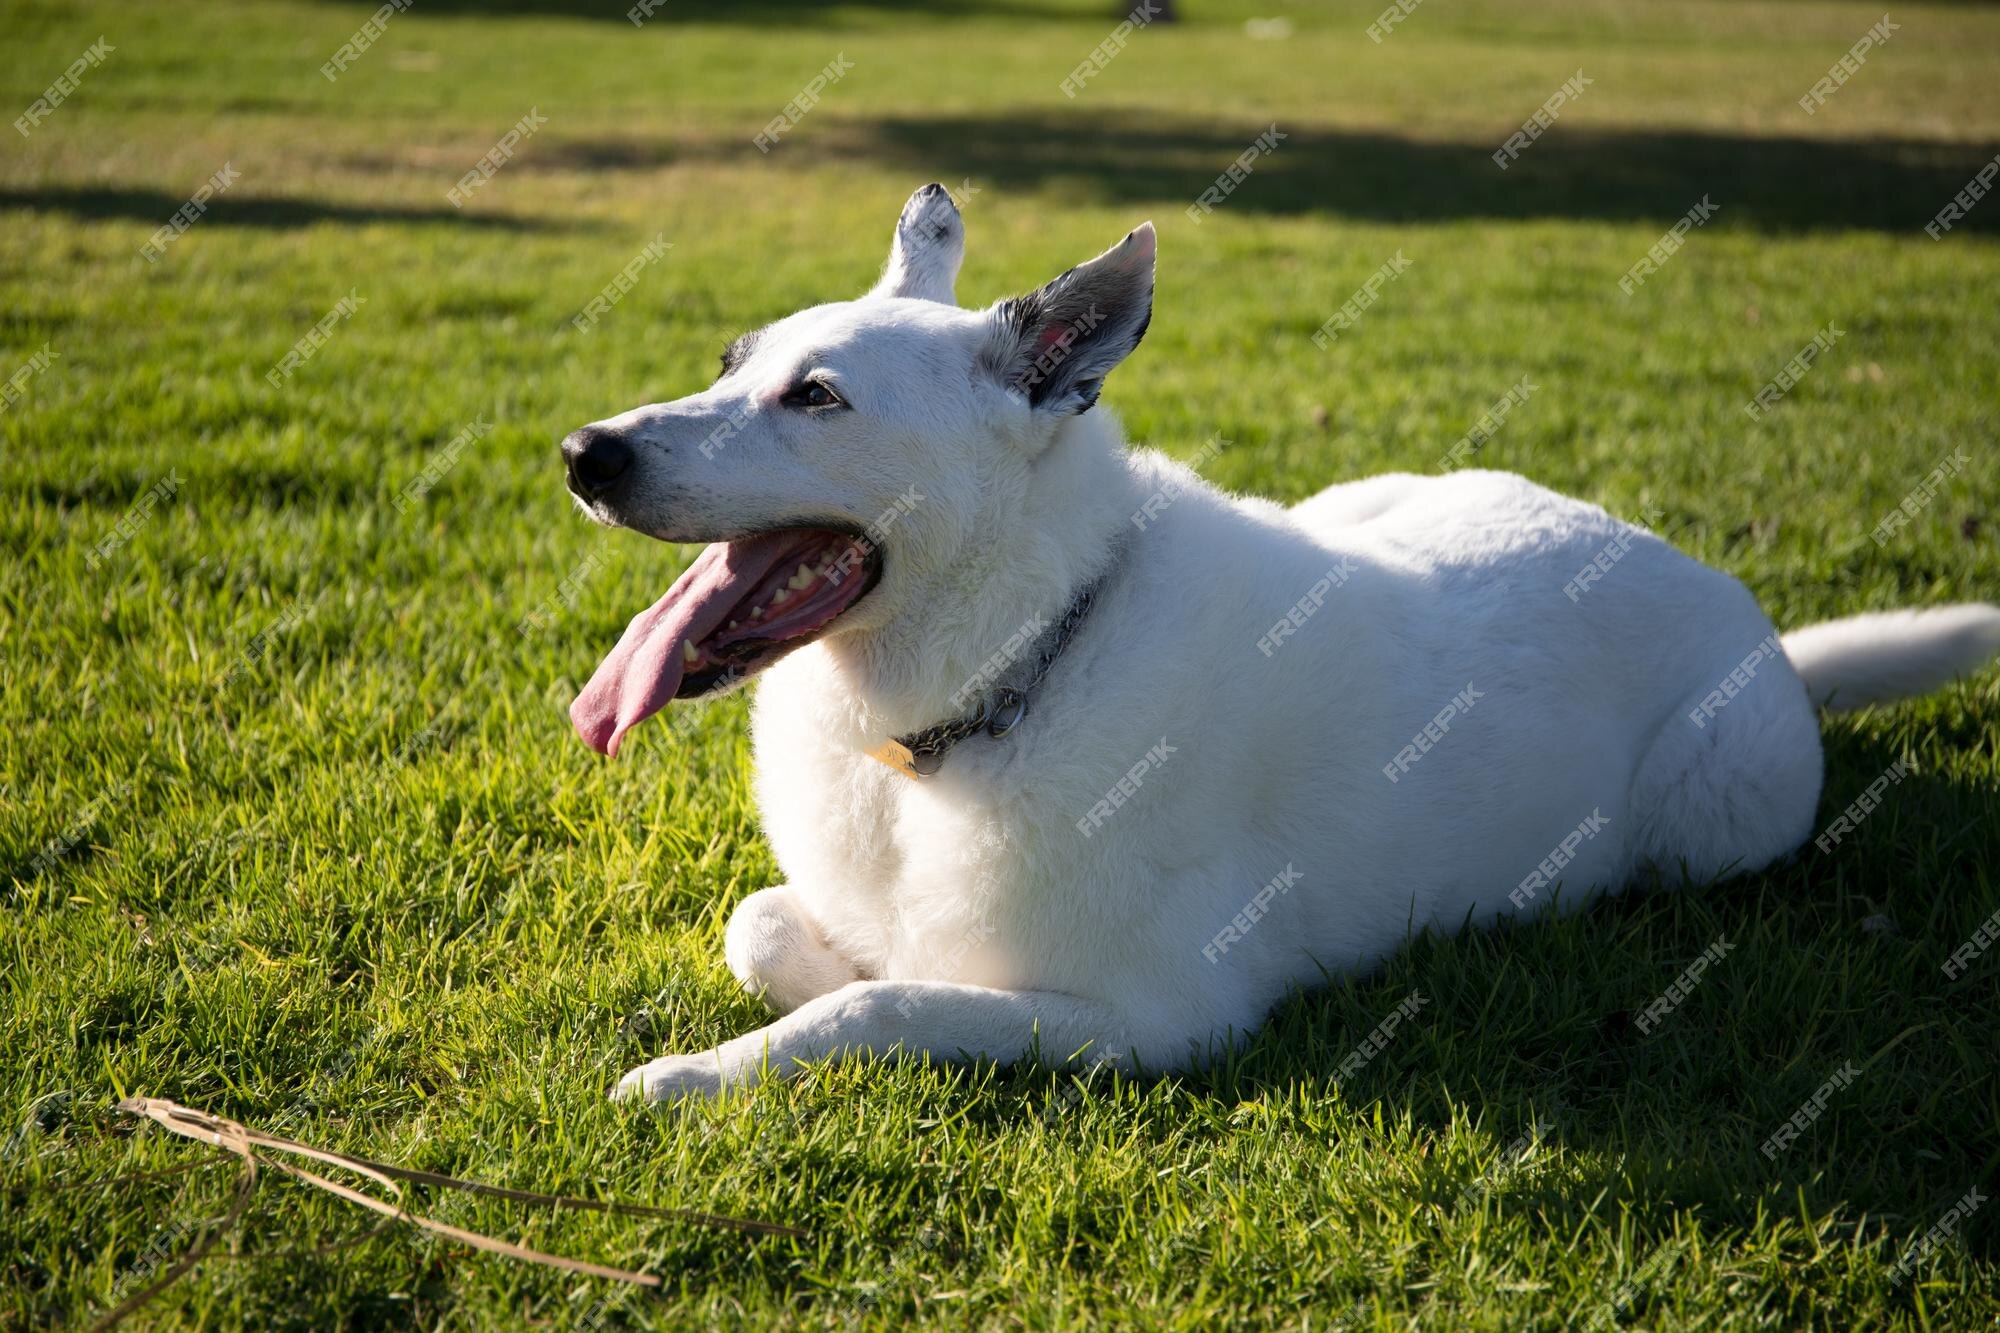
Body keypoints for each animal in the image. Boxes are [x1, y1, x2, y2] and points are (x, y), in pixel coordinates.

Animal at [560, 187, 2000, 1096]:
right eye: (731, 360)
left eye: (817, 398)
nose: (586, 452)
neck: (1020, 658)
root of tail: (1760, 634)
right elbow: (774, 932)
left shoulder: (1163, 1023)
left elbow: (883, 1001)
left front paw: (702, 1071)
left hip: (1714, 825)